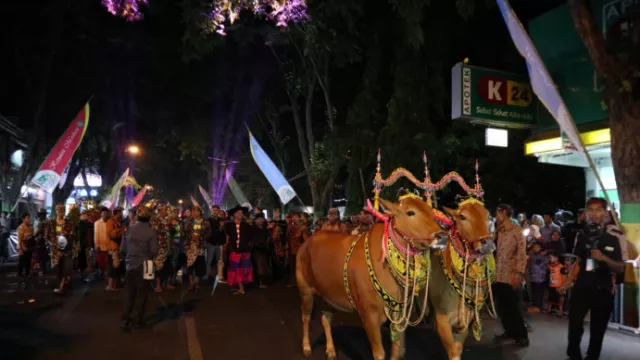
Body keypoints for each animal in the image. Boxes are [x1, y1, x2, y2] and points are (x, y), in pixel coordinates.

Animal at [298, 197, 448, 360]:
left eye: (432, 213)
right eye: (410, 212)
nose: (443, 237)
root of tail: (307, 242)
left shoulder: (398, 315)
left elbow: (397, 350)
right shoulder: (368, 314)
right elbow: (379, 353)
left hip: (328, 294)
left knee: (326, 318)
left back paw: (331, 350)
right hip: (305, 290)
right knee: (305, 317)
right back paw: (306, 347)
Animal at [428, 198, 498, 358]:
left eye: (487, 216)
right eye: (463, 217)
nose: (487, 243)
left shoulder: (466, 320)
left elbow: (458, 348)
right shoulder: (441, 319)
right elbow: (453, 351)